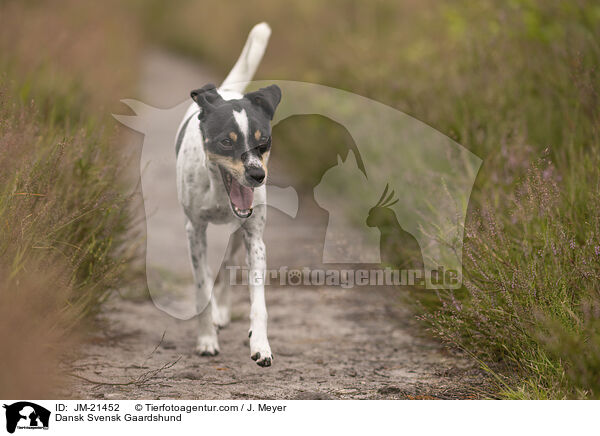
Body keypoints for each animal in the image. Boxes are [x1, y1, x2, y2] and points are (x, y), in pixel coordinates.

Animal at [176, 22, 282, 366]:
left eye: (264, 142)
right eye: (226, 141)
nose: (257, 175)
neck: (221, 193)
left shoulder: (254, 236)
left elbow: (258, 301)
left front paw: (260, 344)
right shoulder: (194, 231)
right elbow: (201, 287)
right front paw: (206, 339)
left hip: (237, 233)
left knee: (230, 263)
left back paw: (223, 313)